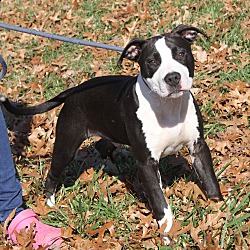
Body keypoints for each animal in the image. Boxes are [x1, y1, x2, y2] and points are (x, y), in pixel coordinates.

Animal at [0, 24, 223, 242]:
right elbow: (160, 202)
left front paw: (218, 212)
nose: (173, 77)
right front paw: (167, 233)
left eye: (181, 53)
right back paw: (50, 204)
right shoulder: (147, 163)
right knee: (53, 173)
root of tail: (76, 89)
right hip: (67, 144)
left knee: (102, 145)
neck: (168, 106)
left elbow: (210, 182)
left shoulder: (198, 148)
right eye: (151, 61)